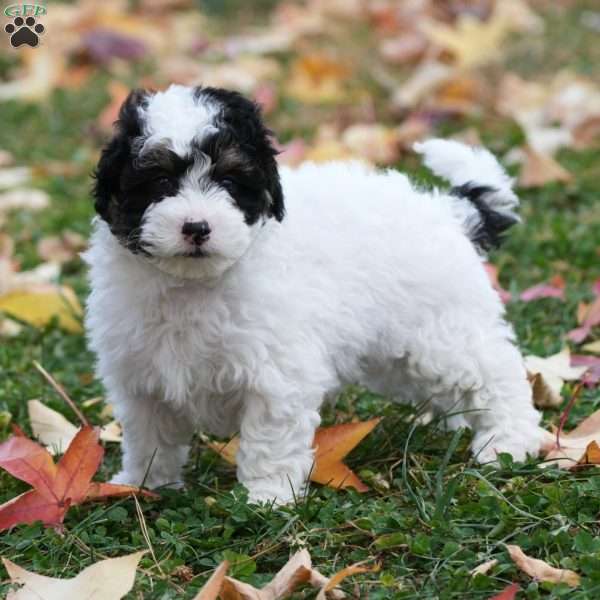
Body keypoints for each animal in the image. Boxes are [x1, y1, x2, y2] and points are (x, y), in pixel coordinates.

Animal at [85, 84, 544, 504]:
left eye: (229, 180)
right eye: (160, 180)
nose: (197, 227)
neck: (193, 283)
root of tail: (449, 212)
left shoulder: (277, 374)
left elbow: (269, 438)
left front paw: (267, 495)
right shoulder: (142, 377)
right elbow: (150, 435)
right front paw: (142, 485)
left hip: (442, 329)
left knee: (495, 373)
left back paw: (509, 441)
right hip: (395, 356)